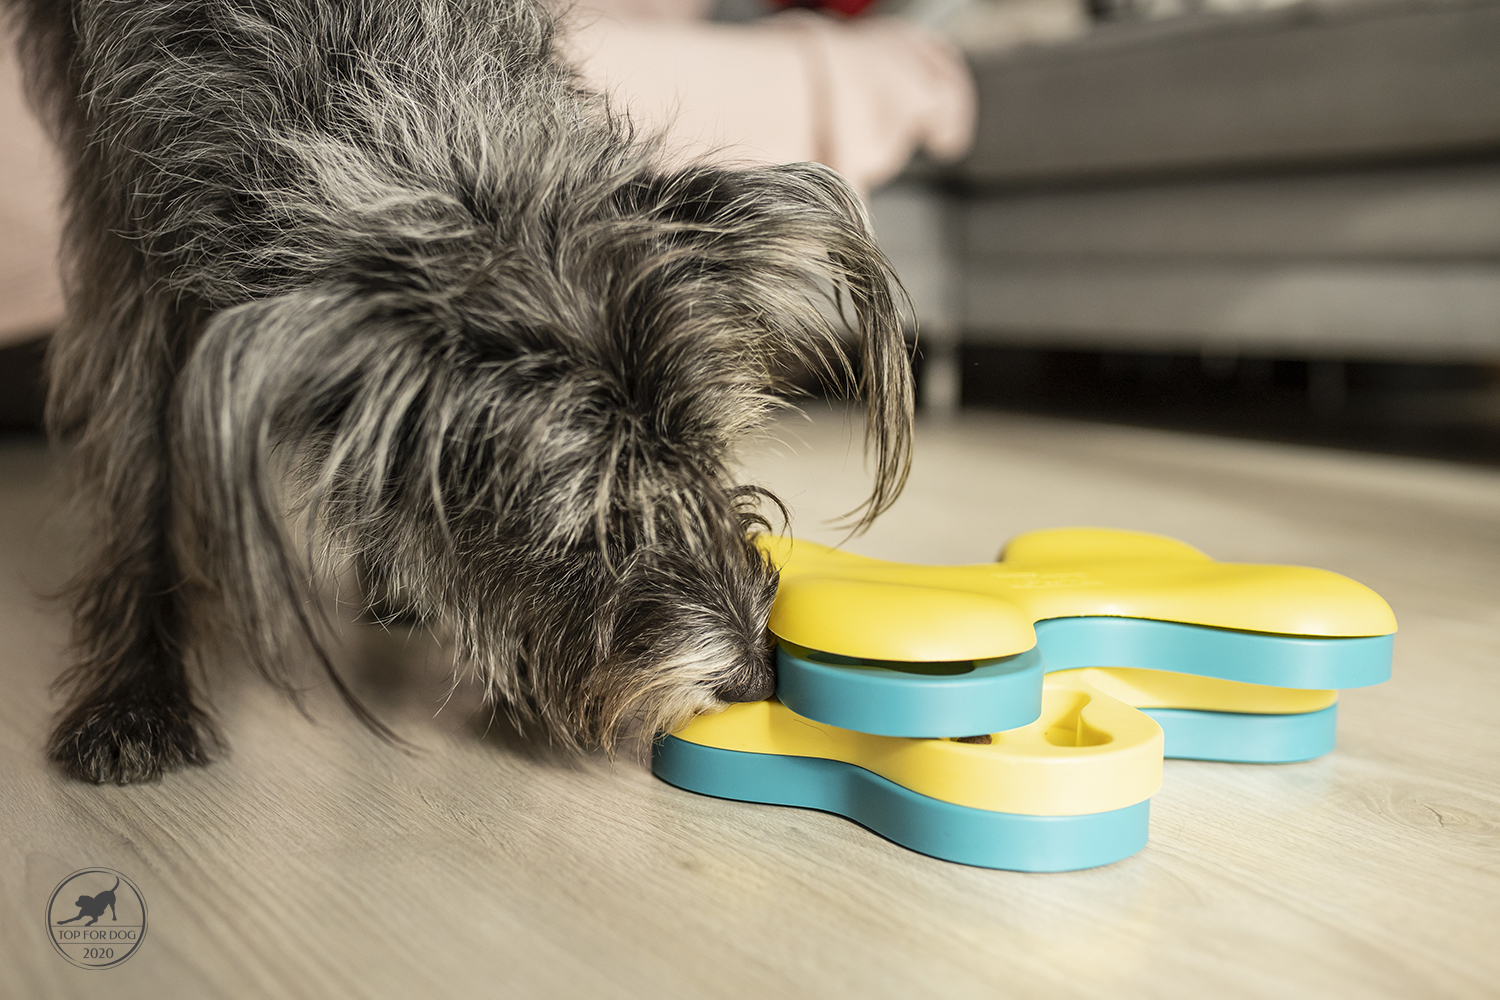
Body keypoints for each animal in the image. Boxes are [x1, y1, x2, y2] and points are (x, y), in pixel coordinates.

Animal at [6, 0, 914, 783]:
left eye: (707, 461)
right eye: (580, 523)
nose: (758, 678)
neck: (367, 61)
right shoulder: (131, 234)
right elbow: (144, 462)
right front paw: (134, 695)